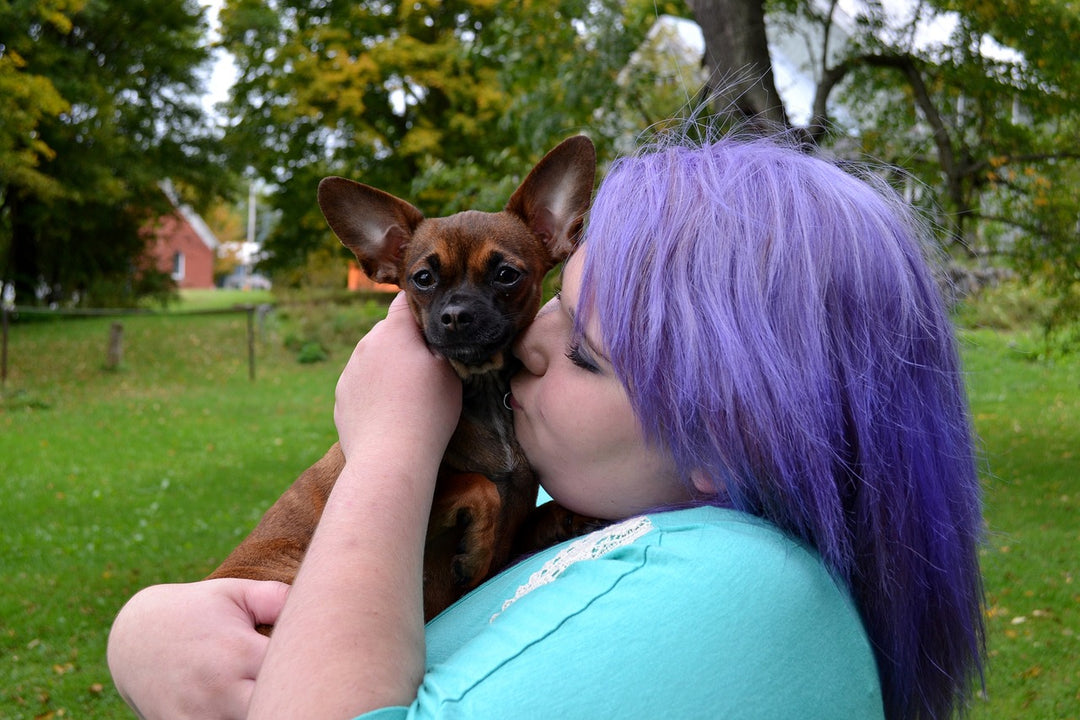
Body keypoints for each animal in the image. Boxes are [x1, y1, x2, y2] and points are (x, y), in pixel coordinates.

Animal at [208, 136, 600, 621]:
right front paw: (475, 550)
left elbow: (523, 515)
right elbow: (479, 486)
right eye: (423, 278)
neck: (484, 393)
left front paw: (569, 515)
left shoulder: (513, 532)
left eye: (507, 275)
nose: (456, 315)